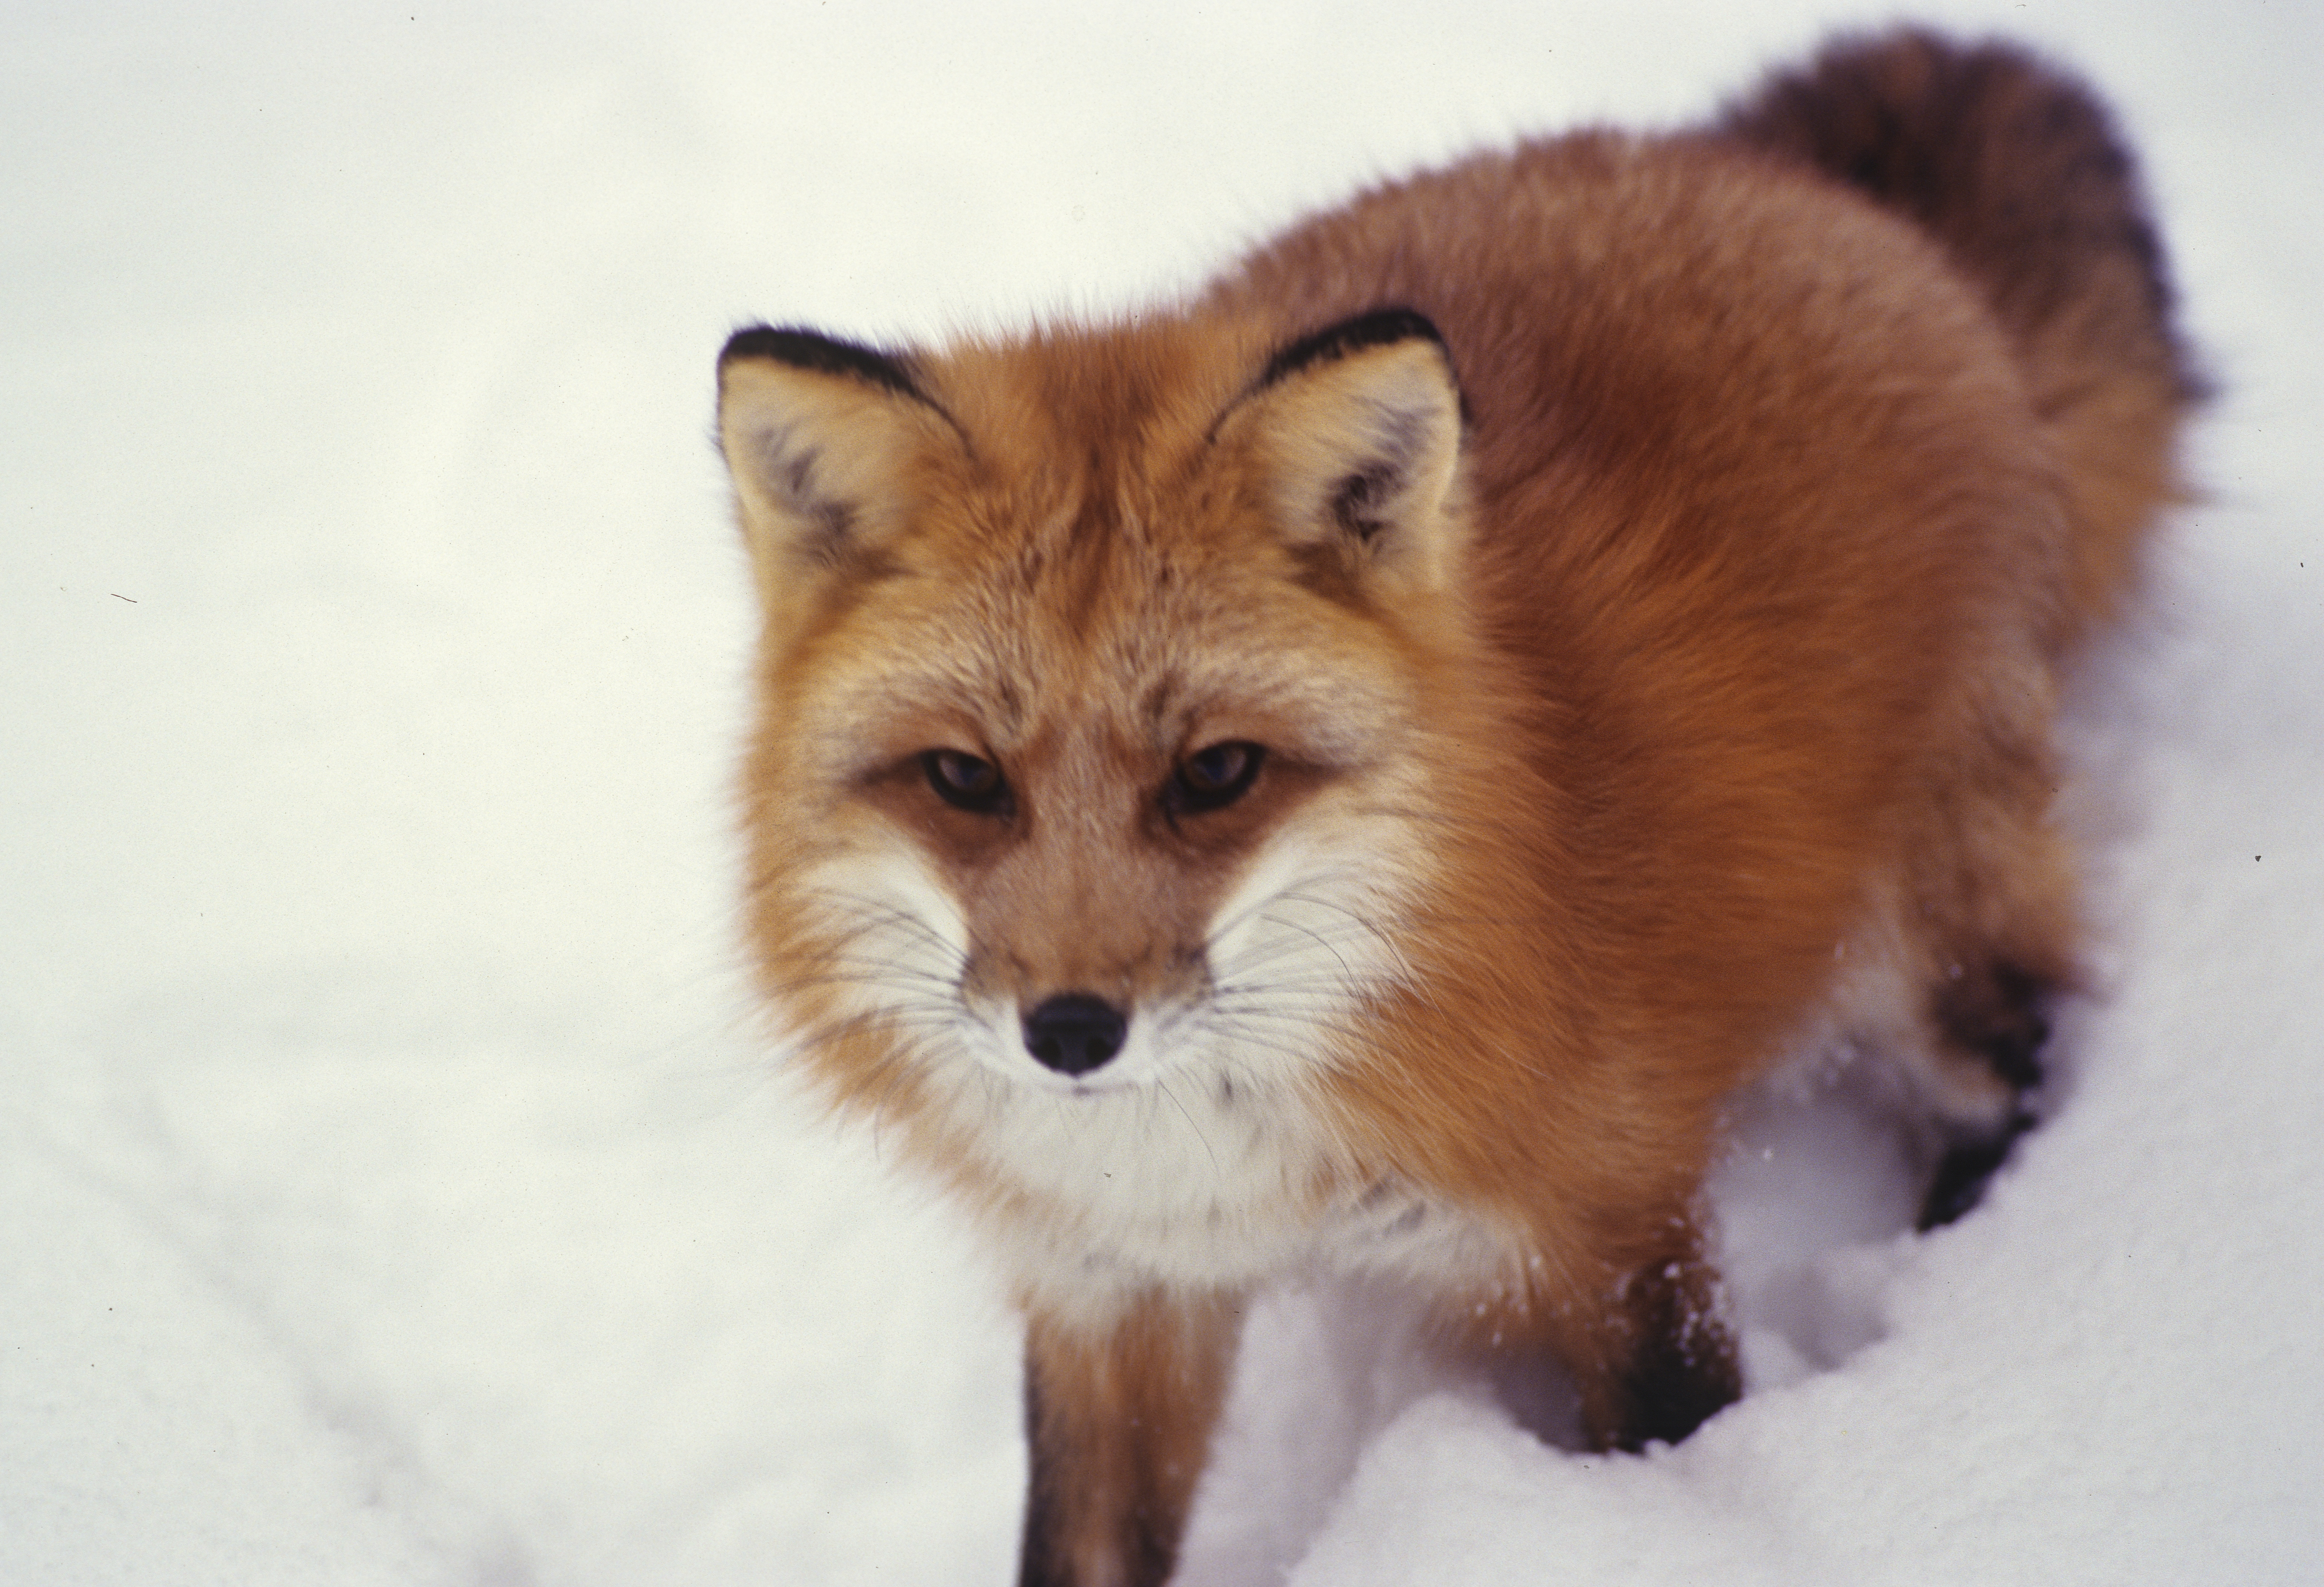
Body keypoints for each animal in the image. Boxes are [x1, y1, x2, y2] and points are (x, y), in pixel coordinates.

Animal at [715, 29, 2196, 1587]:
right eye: (963, 780)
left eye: (1215, 773)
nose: (1067, 1035)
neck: (1218, 1147)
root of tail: (1821, 205)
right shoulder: (1110, 1286)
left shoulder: (1616, 1233)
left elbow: (1672, 1438)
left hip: (1916, 954)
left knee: (2019, 1060)